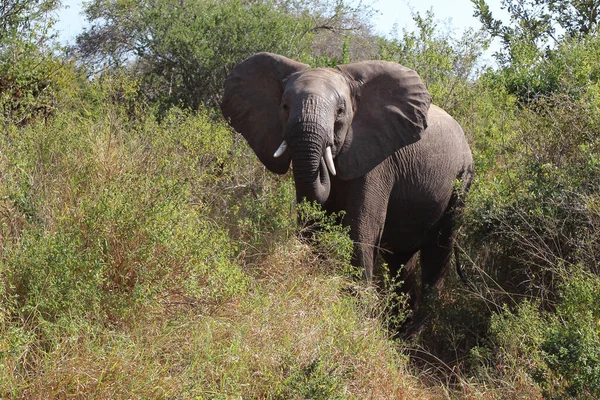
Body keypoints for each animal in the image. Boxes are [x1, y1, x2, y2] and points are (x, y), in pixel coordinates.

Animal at [220, 53, 474, 314]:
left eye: (340, 111)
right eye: (284, 107)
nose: (326, 153)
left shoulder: (378, 160)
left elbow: (360, 228)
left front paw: (359, 310)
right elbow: (311, 221)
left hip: (462, 181)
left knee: (438, 249)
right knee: (401, 260)